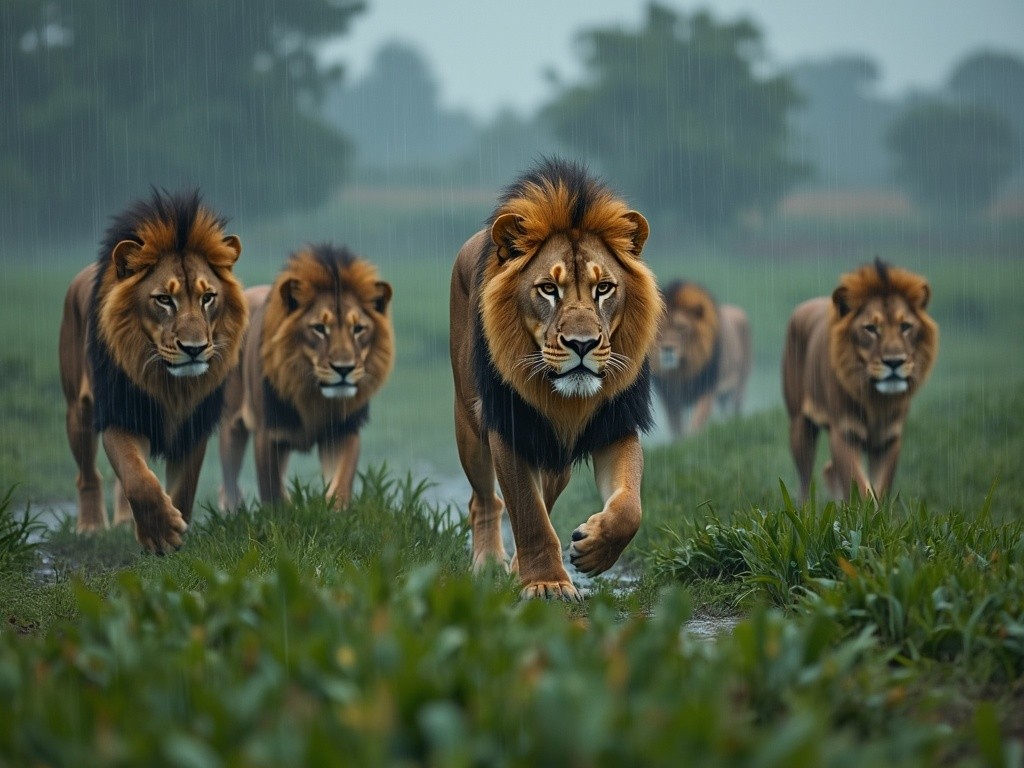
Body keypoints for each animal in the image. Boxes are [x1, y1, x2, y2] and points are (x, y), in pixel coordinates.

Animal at [58, 190, 246, 557]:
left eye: (207, 297)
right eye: (164, 299)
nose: (194, 348)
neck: (169, 383)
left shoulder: (193, 425)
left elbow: (183, 488)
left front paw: (175, 537)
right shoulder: (120, 413)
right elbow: (138, 478)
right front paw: (160, 535)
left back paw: (122, 522)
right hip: (79, 411)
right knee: (88, 475)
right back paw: (91, 526)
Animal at [218, 244, 393, 512]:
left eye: (358, 329)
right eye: (319, 328)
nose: (344, 369)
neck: (313, 394)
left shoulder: (343, 430)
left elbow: (341, 482)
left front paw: (335, 513)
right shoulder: (268, 433)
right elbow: (272, 491)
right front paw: (282, 514)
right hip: (232, 421)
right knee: (228, 478)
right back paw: (232, 509)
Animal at [450, 156, 663, 602]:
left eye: (604, 288)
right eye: (548, 289)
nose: (582, 344)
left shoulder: (615, 423)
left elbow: (630, 507)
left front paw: (593, 549)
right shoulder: (510, 426)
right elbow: (529, 516)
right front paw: (547, 584)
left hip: (553, 453)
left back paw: (517, 565)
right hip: (469, 424)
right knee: (486, 500)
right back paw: (490, 564)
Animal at [647, 280, 753, 438]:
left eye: (681, 327)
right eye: (659, 329)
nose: (667, 349)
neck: (682, 369)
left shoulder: (707, 388)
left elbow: (697, 421)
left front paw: (694, 438)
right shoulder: (669, 397)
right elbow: (676, 428)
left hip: (741, 381)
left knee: (736, 407)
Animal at [782, 259, 937, 499]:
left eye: (905, 327)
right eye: (871, 328)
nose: (894, 362)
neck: (876, 399)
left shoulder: (888, 440)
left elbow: (880, 489)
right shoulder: (844, 434)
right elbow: (860, 489)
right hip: (800, 424)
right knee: (805, 480)